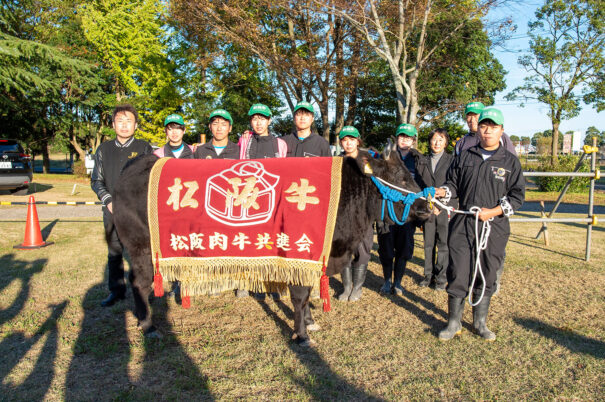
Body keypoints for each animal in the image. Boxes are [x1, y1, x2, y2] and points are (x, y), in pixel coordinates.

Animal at [112, 151, 430, 346]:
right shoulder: (300, 250)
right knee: (139, 282)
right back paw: (148, 325)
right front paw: (301, 335)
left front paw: (310, 323)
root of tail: (137, 163)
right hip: (141, 248)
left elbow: (305, 295)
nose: (428, 206)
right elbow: (300, 296)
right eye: (402, 178)